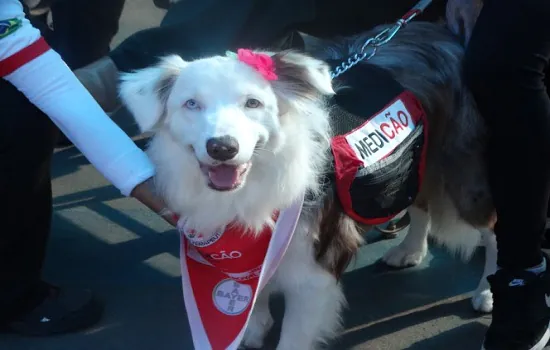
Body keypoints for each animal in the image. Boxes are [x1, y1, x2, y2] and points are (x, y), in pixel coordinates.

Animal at [118, 21, 498, 350]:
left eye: (253, 103)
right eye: (191, 104)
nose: (222, 147)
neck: (255, 182)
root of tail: (437, 30)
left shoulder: (315, 268)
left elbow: (294, 334)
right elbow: (254, 288)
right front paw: (254, 326)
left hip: (463, 175)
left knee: (493, 228)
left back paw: (488, 291)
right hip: (412, 160)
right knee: (419, 203)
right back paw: (410, 251)